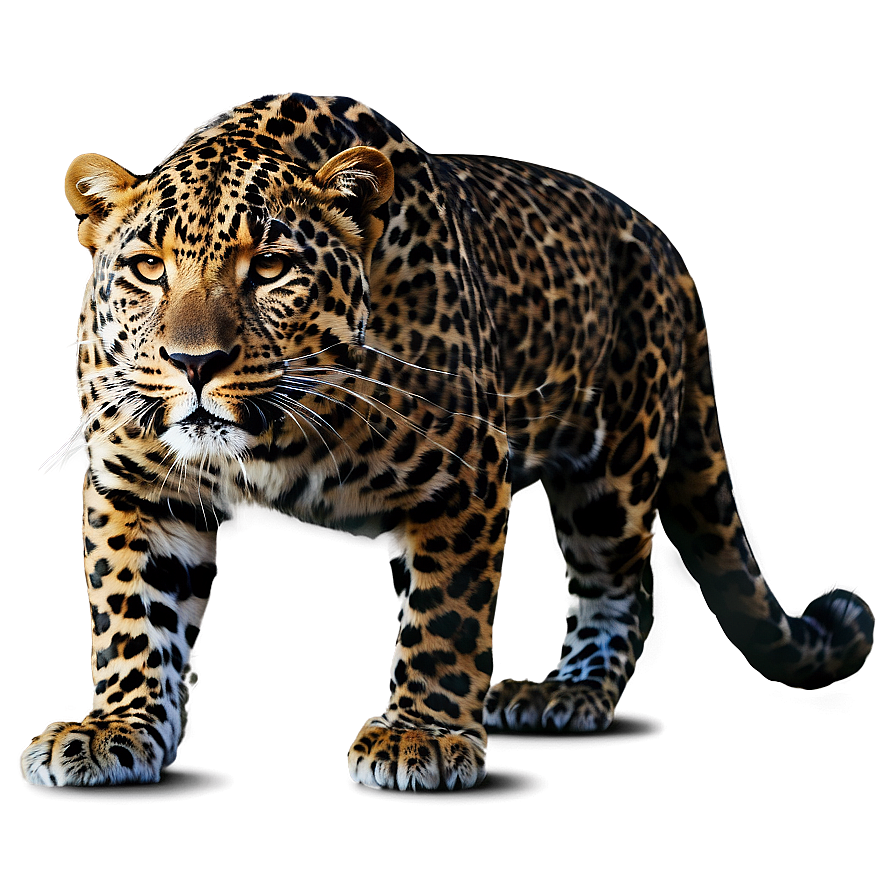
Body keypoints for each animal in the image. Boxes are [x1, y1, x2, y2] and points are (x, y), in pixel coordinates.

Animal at [22, 93, 873, 790]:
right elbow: (134, 612)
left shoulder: (464, 477)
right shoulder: (139, 486)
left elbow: (446, 616)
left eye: (269, 268)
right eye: (146, 268)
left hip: (617, 474)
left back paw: (568, 692)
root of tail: (663, 246)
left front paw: (421, 735)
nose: (194, 363)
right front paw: (119, 729)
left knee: (625, 587)